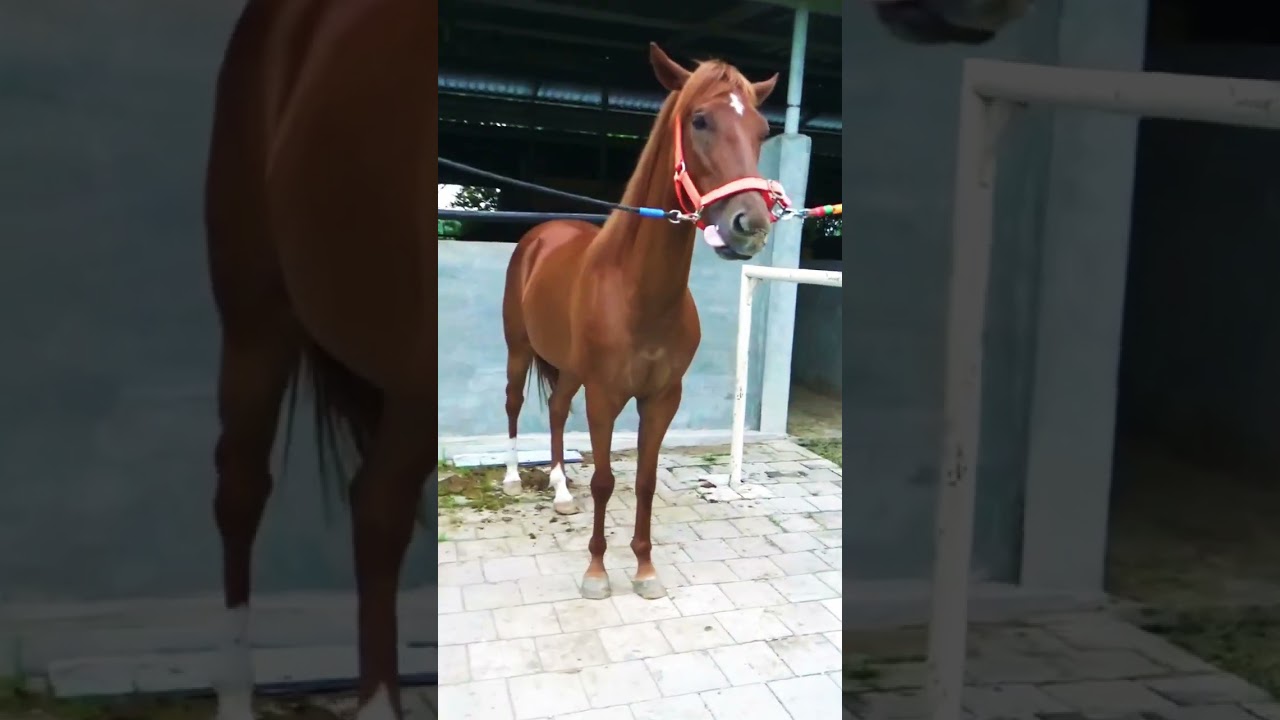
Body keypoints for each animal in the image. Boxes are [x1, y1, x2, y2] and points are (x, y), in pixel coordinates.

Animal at [499, 43, 784, 601]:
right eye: (699, 120)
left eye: (762, 130)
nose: (750, 227)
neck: (640, 295)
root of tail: (540, 236)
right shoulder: (605, 395)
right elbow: (605, 480)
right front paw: (596, 573)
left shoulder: (662, 397)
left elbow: (646, 482)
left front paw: (646, 569)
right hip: (519, 351)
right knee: (515, 404)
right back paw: (514, 478)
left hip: (569, 368)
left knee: (558, 411)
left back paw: (561, 490)